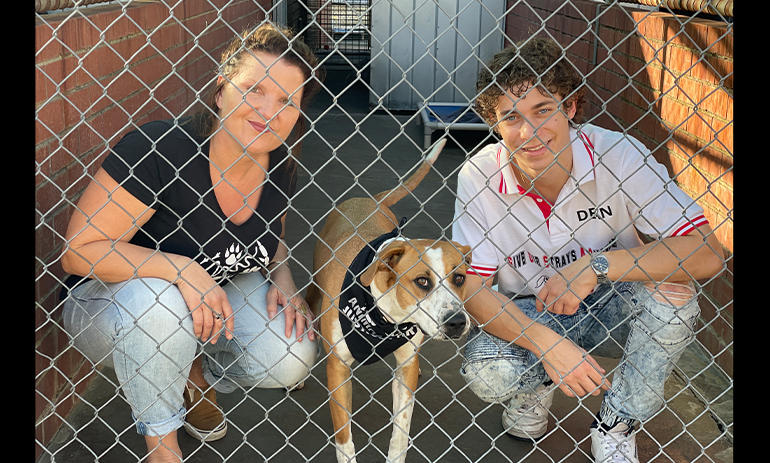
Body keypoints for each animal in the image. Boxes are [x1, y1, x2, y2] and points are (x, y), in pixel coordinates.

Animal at [304, 141, 468, 463]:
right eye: (422, 281)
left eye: (459, 278)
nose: (457, 322)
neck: (386, 315)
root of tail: (371, 199)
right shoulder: (338, 370)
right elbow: (344, 439)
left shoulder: (404, 369)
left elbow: (401, 432)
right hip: (315, 283)